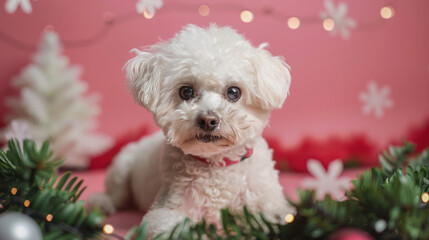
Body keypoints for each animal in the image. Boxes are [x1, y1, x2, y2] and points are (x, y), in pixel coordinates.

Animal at [89, 23, 292, 236]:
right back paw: (102, 203)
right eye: (186, 91)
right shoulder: (167, 209)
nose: (208, 120)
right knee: (115, 195)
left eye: (234, 92)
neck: (216, 166)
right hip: (122, 168)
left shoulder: (270, 205)